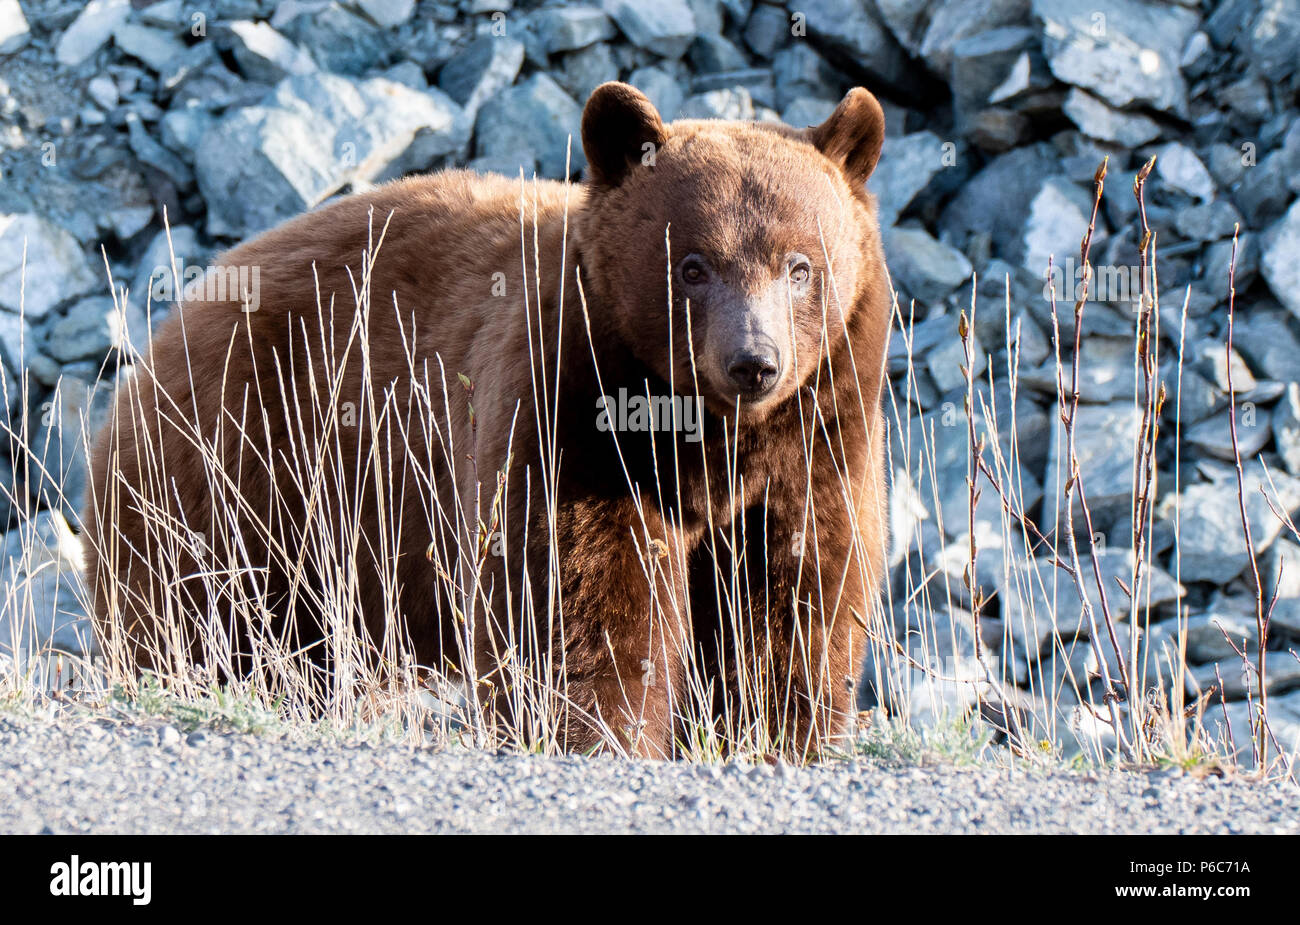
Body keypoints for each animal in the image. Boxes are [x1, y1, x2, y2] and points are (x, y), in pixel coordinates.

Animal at [84, 82, 892, 760]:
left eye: (800, 264)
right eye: (692, 264)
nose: (753, 361)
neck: (707, 432)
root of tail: (165, 334)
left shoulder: (817, 434)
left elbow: (799, 588)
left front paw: (778, 733)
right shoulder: (572, 407)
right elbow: (573, 585)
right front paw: (596, 731)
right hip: (235, 463)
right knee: (198, 603)